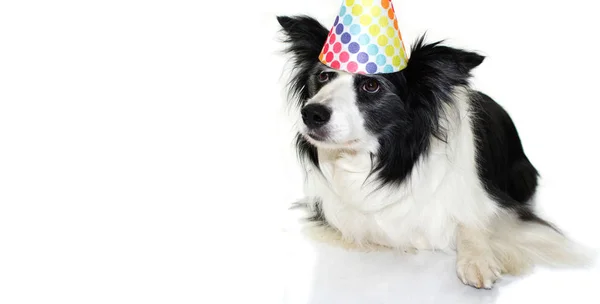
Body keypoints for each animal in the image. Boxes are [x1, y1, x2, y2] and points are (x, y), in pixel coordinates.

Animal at [276, 14, 592, 290]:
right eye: (323, 76)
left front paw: (477, 259)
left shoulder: (499, 206)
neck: (382, 159)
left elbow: (472, 223)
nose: (311, 113)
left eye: (371, 84)